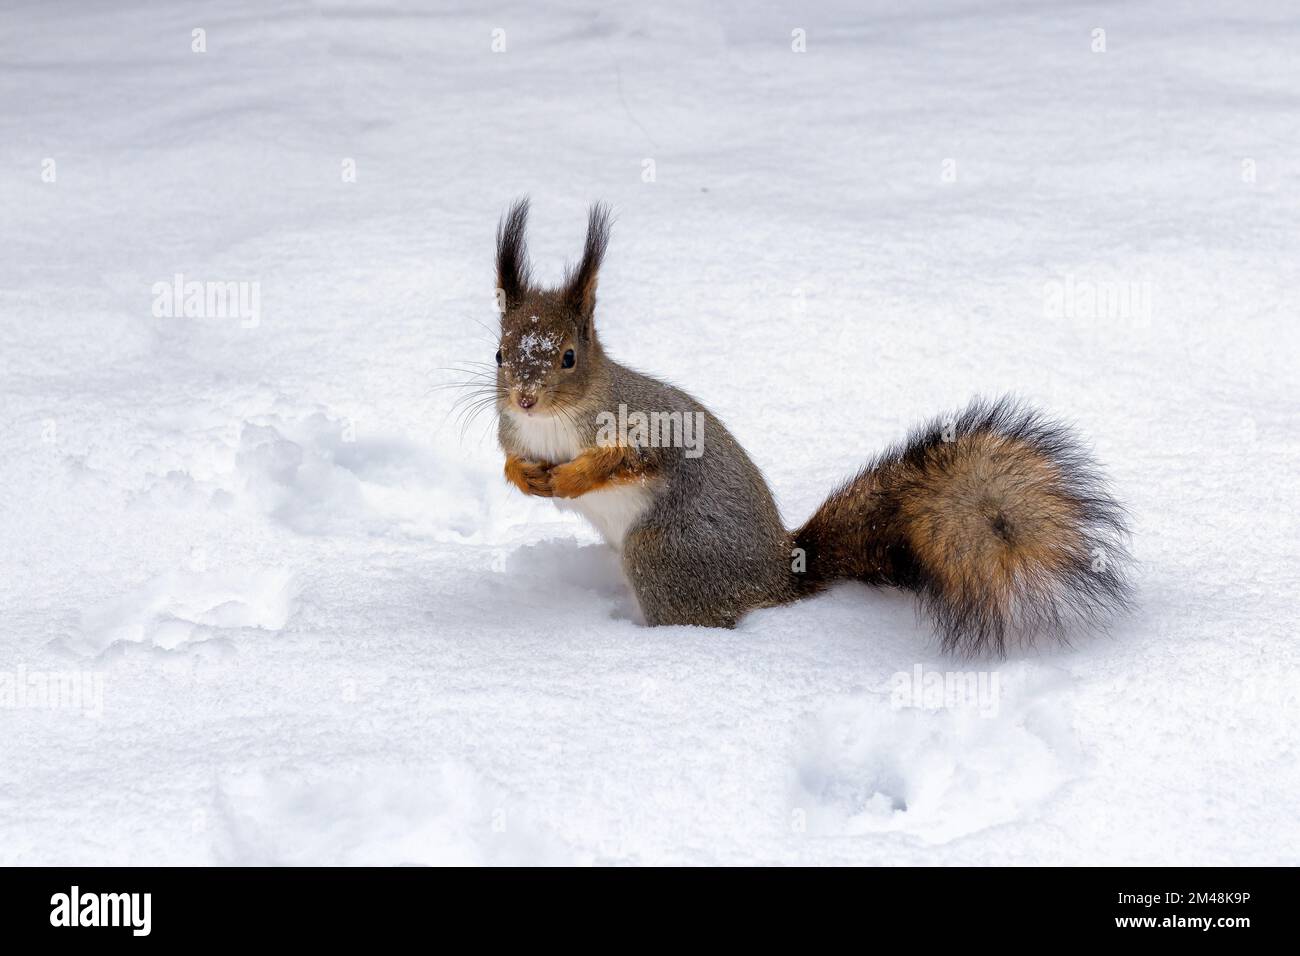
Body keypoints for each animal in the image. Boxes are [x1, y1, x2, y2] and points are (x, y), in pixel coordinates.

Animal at [490, 199, 1132, 655]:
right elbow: (509, 456)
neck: (553, 424)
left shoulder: (650, 424)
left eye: (569, 357)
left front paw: (573, 478)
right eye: (499, 354)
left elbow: (635, 457)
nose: (524, 398)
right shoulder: (513, 431)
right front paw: (522, 476)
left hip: (664, 553)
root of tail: (780, 576)